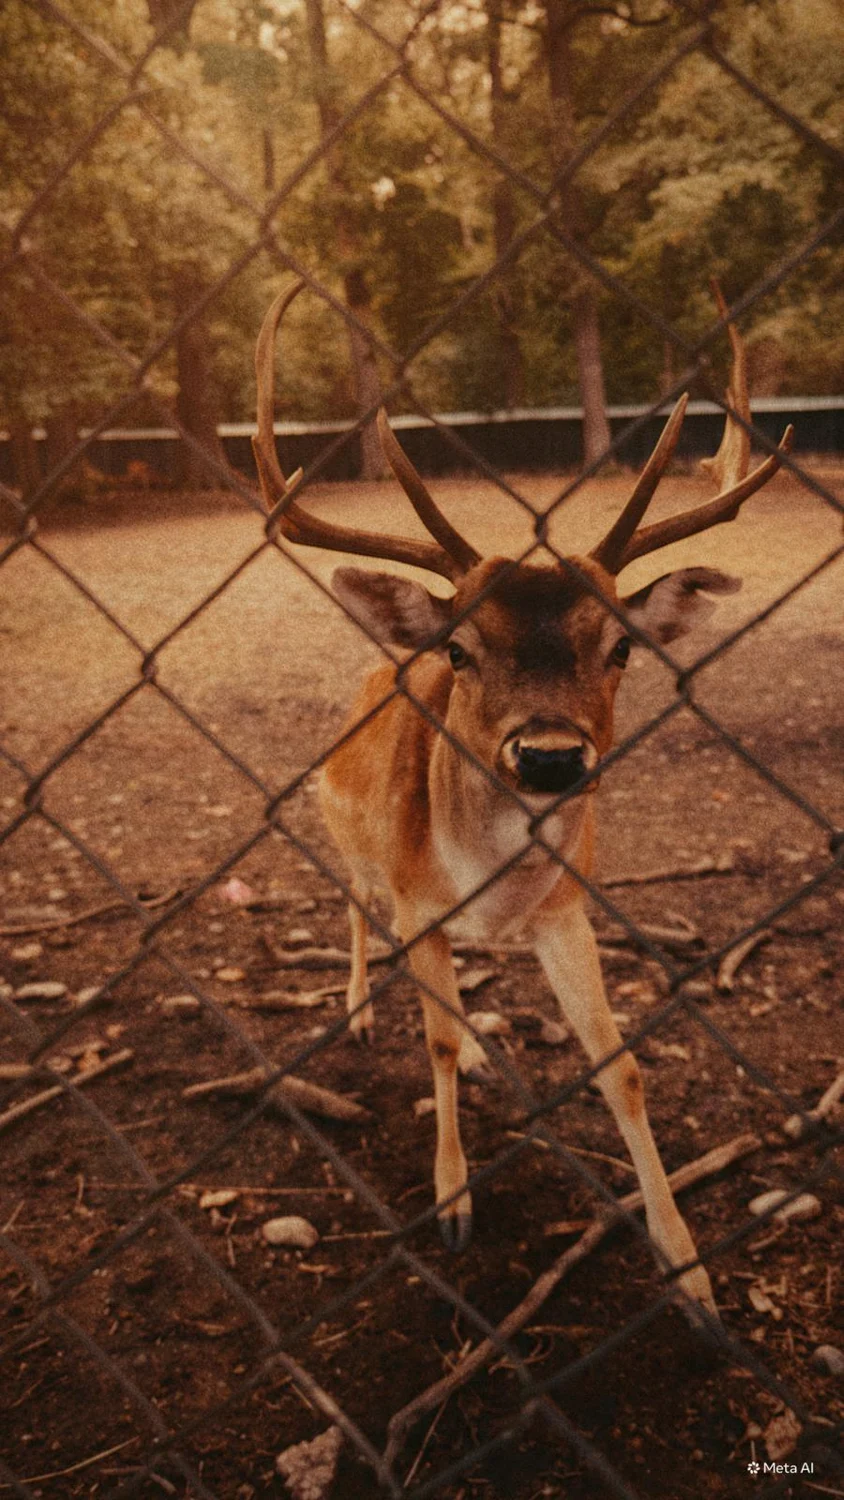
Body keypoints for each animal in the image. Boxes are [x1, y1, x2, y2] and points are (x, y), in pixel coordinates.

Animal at [252, 281, 792, 1321]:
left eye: (621, 645)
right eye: (461, 650)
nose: (548, 757)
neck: (491, 890)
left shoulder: (564, 908)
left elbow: (622, 1067)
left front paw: (689, 1267)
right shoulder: (420, 900)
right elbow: (434, 1043)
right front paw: (453, 1203)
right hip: (342, 835)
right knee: (353, 903)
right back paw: (357, 1009)